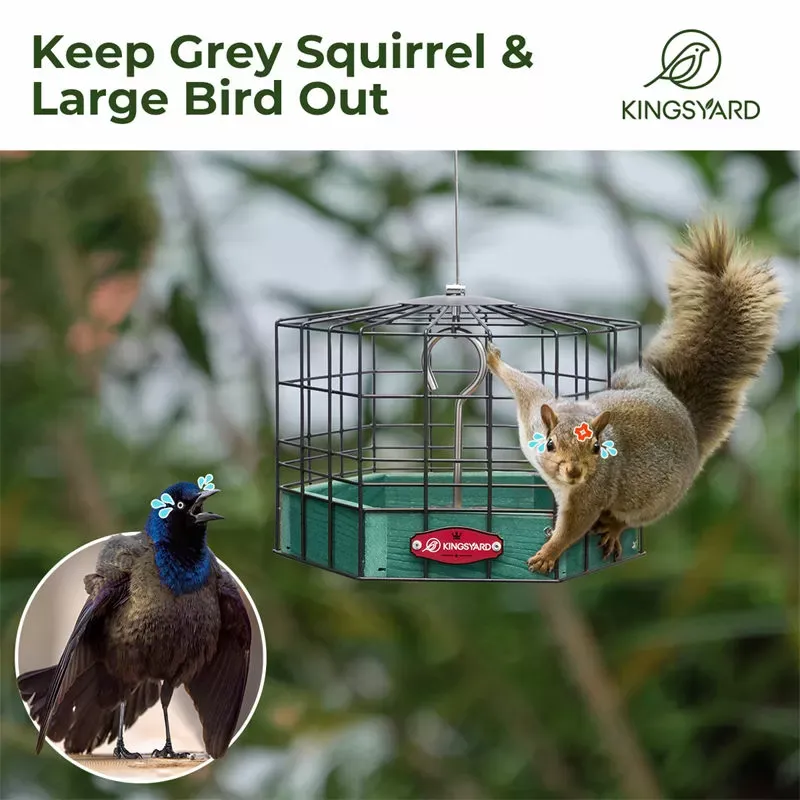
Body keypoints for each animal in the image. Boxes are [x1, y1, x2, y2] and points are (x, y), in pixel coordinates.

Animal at [486, 218, 785, 574]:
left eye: (596, 448)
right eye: (549, 445)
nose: (574, 472)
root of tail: (688, 424)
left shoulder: (591, 494)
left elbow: (574, 527)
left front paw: (548, 554)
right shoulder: (534, 412)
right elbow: (525, 386)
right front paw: (493, 359)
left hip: (653, 501)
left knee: (632, 517)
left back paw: (615, 528)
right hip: (629, 377)